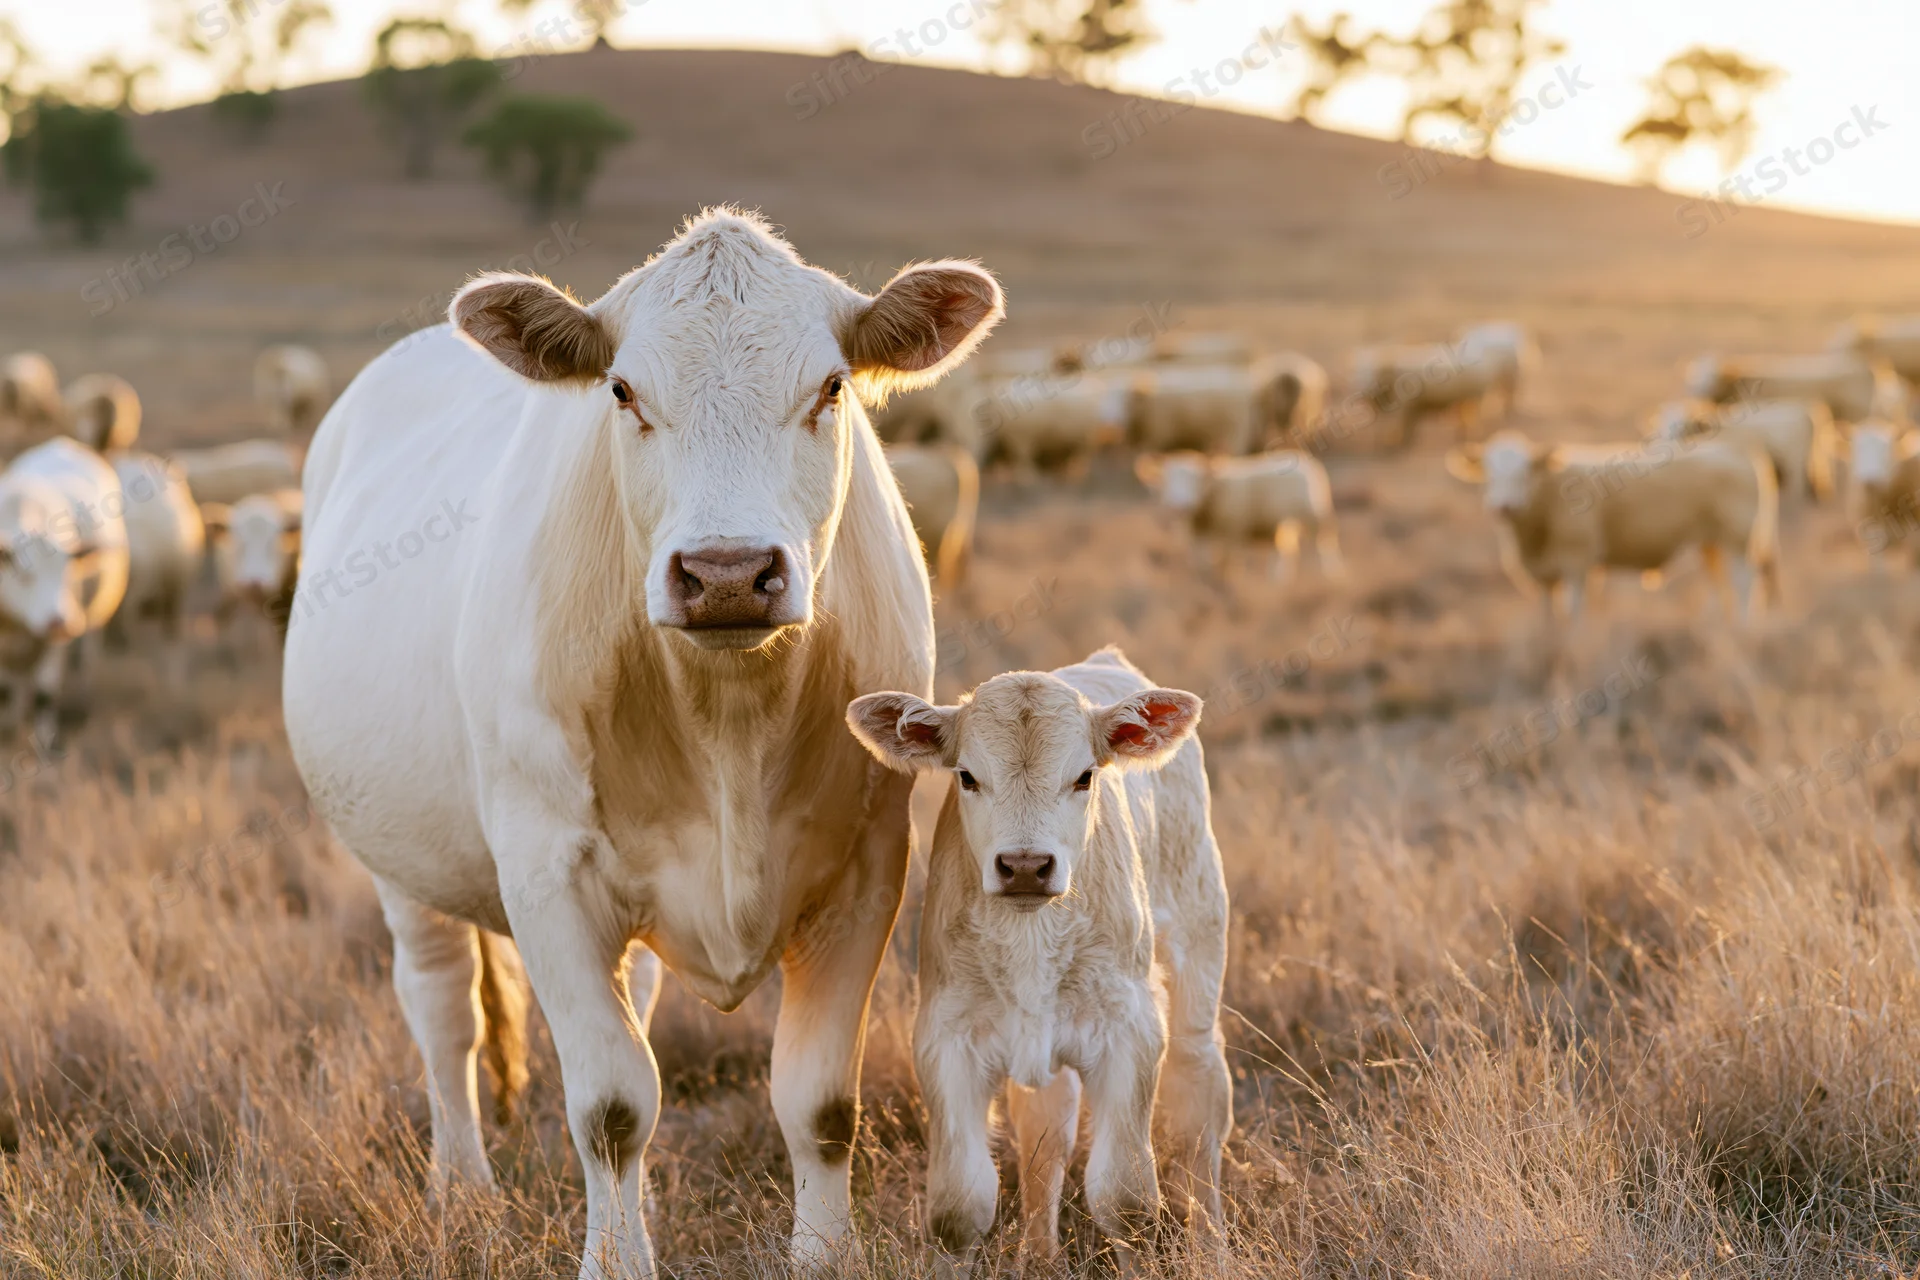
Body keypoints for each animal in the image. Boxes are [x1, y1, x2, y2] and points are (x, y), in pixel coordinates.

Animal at [282, 208, 1002, 1278]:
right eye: (622, 391)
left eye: (832, 387)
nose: (728, 572)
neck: (728, 720)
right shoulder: (547, 874)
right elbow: (613, 1107)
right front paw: (614, 1259)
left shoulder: (867, 867)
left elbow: (820, 1103)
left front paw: (822, 1254)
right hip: (399, 859)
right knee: (444, 1013)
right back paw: (462, 1189)